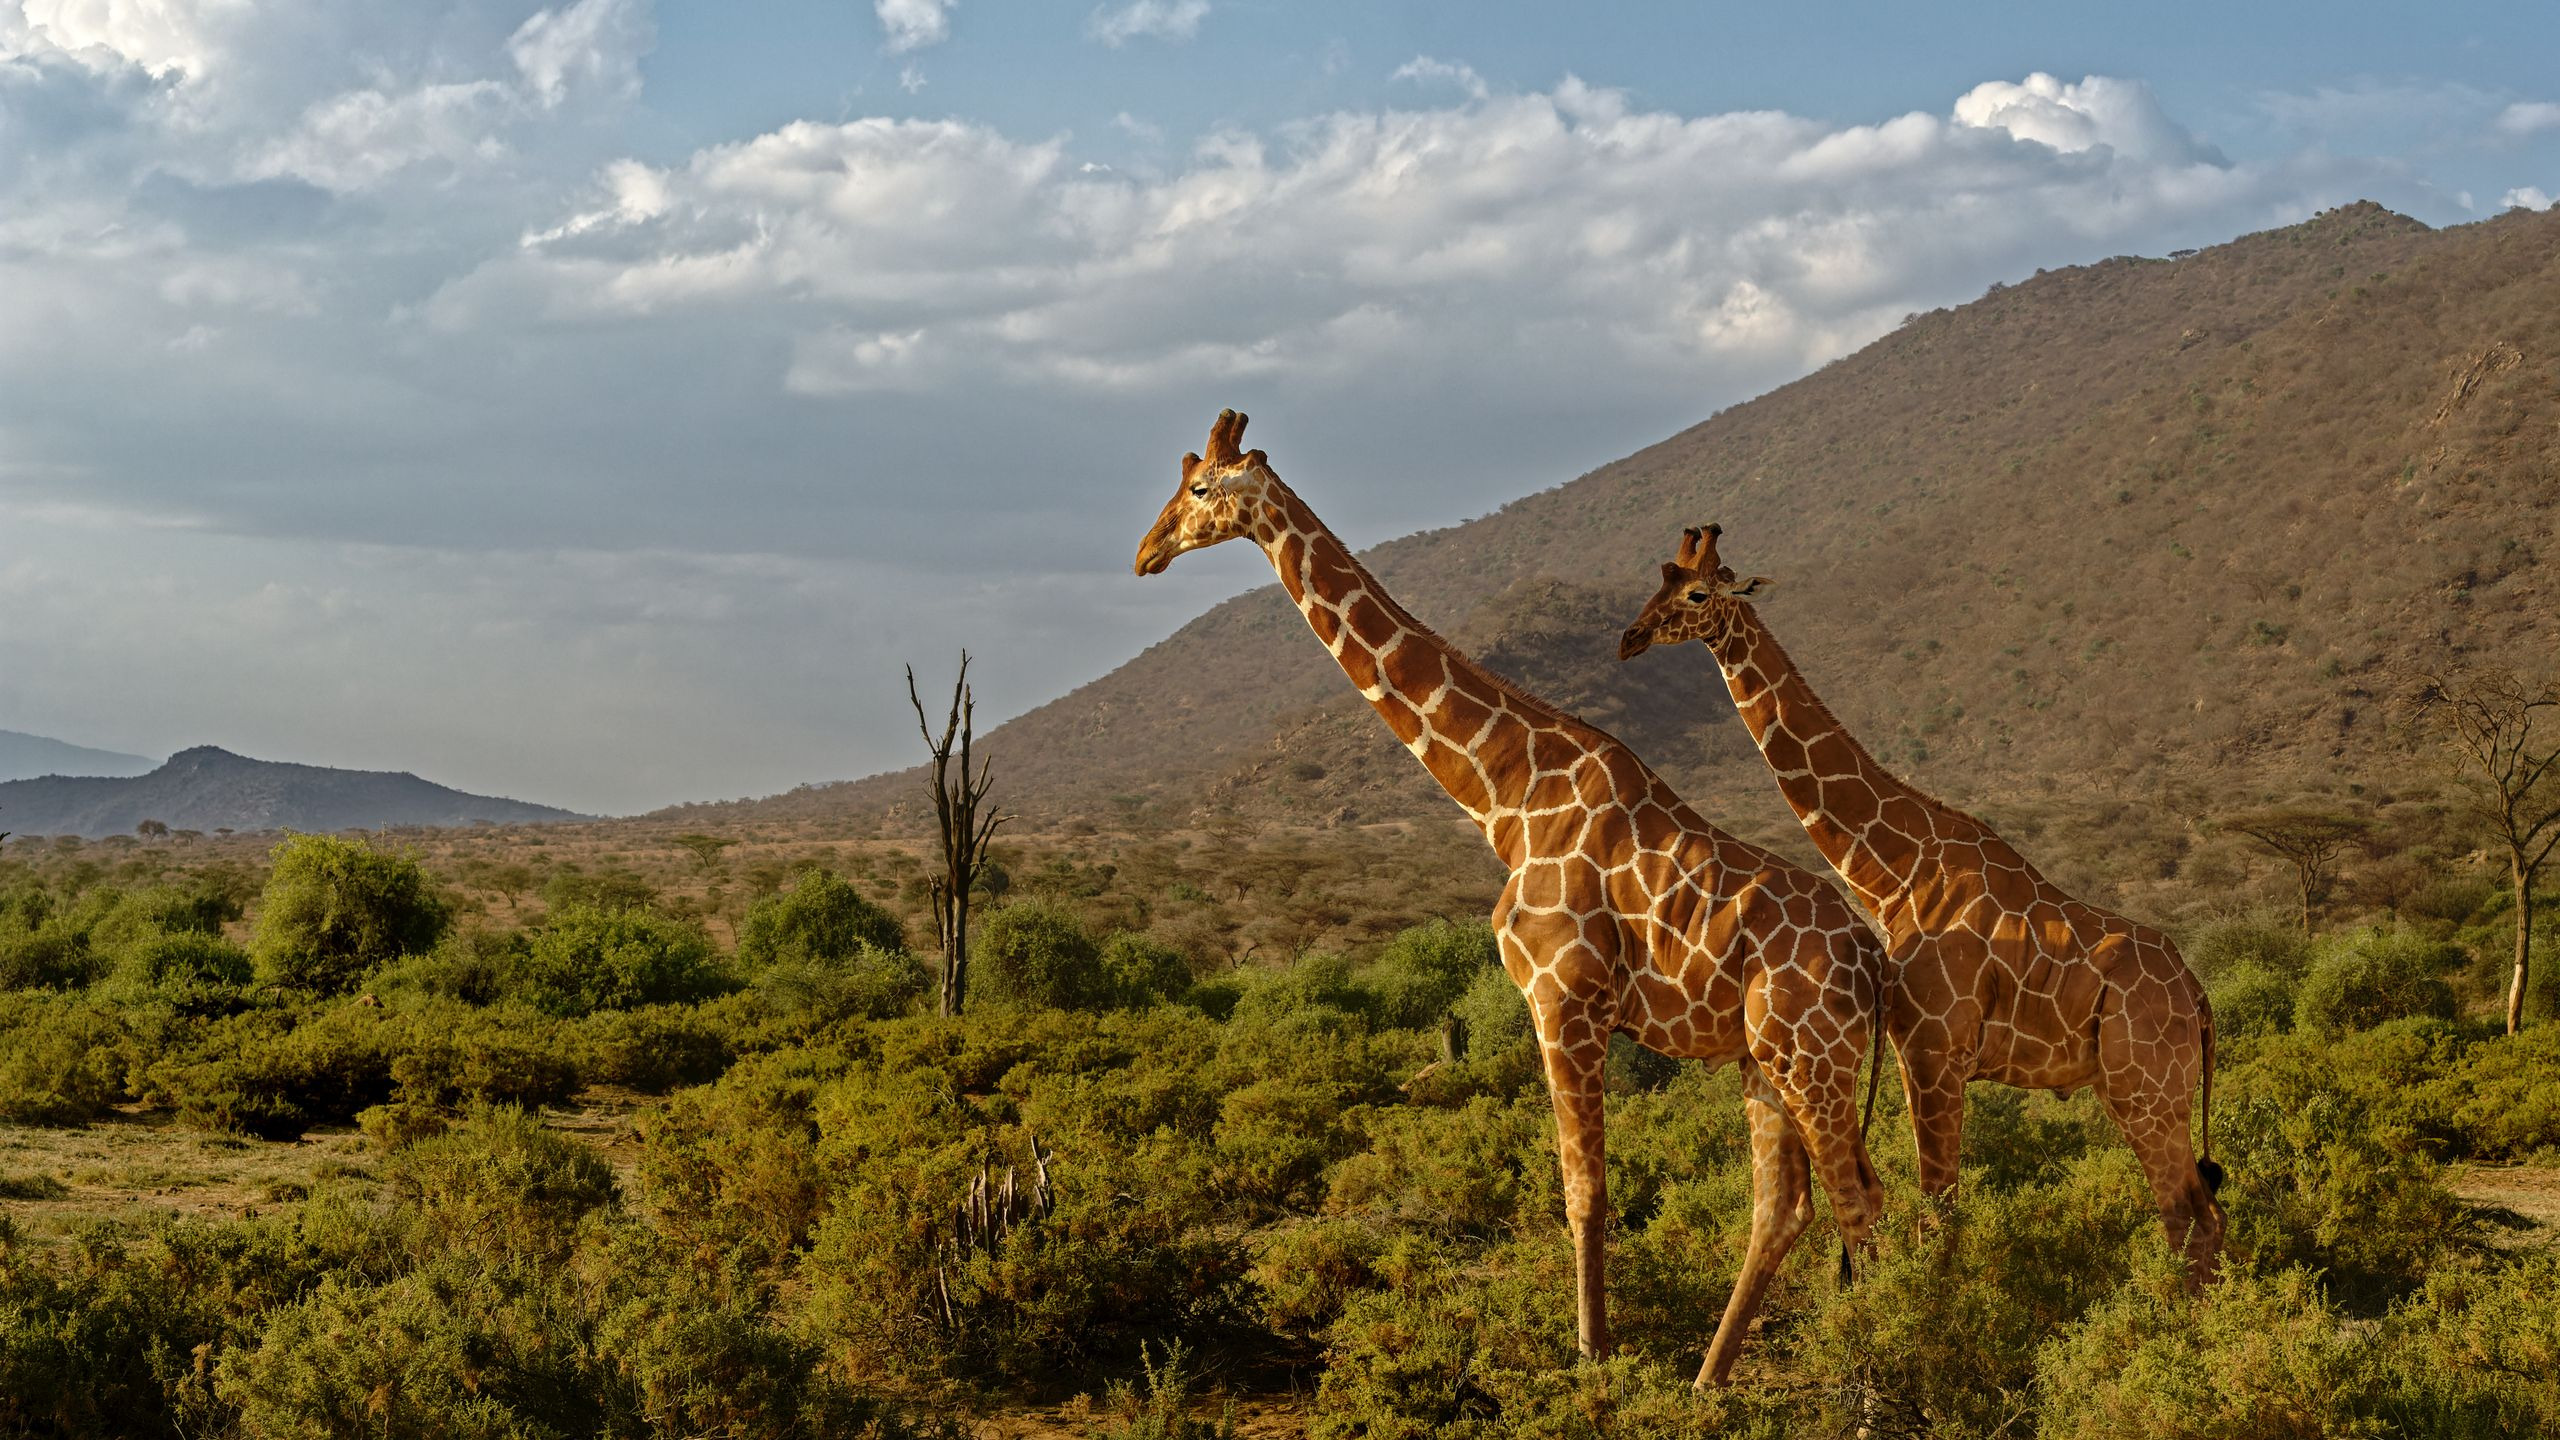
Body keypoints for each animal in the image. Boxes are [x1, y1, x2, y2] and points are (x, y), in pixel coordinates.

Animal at [1136, 412, 1891, 1385]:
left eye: (1199, 489)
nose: (1147, 553)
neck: (1506, 796)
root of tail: (1874, 959)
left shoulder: (1562, 999)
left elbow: (1585, 1191)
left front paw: (1593, 1359)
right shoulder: (1570, 1007)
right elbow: (1587, 1187)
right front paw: (1604, 1355)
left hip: (1813, 1059)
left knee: (1858, 1201)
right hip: (1766, 1060)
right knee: (1790, 1206)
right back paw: (1705, 1383)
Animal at [1616, 523, 2225, 1290]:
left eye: (1696, 593)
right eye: (1658, 582)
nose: (1630, 638)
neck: (1898, 871)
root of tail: (2200, 998)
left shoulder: (1933, 1050)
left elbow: (1938, 1214)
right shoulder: (1922, 1052)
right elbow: (1936, 1208)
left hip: (2145, 1088)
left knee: (2186, 1214)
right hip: (2145, 1092)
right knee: (2203, 1213)